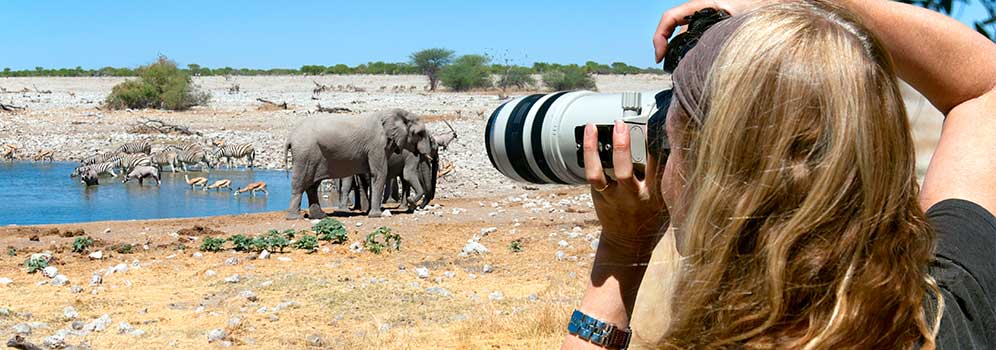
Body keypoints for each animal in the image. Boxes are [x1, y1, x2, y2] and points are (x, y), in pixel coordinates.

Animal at [284, 108, 432, 220]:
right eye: (420, 133)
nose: (412, 202)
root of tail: (290, 136)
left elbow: (374, 175)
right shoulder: (376, 145)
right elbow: (380, 173)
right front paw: (376, 215)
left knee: (312, 186)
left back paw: (320, 216)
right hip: (305, 153)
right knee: (300, 184)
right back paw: (295, 217)